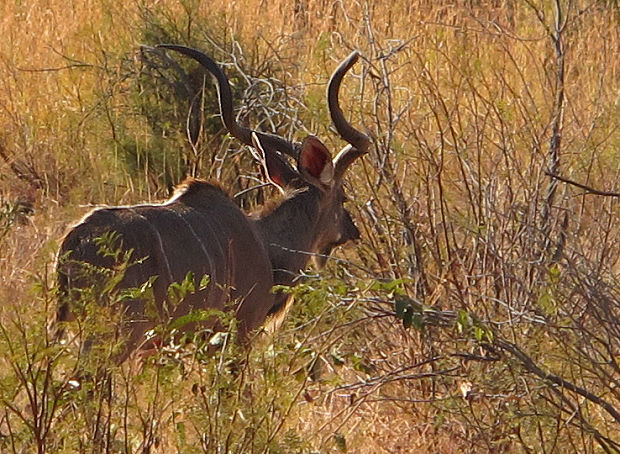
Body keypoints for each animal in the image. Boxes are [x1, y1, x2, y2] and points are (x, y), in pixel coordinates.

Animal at [55, 44, 368, 360]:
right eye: (343, 197)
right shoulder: (239, 329)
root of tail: (74, 242)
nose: (353, 230)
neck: (265, 244)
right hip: (118, 333)